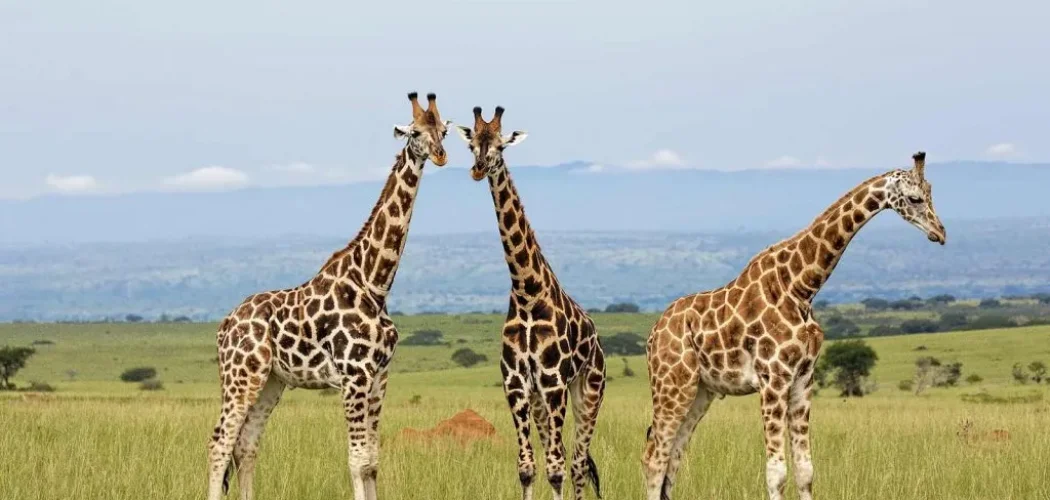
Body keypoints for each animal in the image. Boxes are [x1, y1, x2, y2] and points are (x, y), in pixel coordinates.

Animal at [206, 92, 450, 500]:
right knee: (220, 444)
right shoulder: (354, 376)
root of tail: (225, 325)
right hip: (240, 375)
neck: (374, 283)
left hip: (272, 381)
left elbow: (372, 462)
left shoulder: (379, 377)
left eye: (444, 131)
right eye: (415, 132)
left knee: (246, 445)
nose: (441, 154)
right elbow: (357, 461)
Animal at [455, 106, 607, 500]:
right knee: (566, 455)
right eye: (473, 144)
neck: (527, 292)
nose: (479, 168)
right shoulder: (516, 383)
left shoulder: (553, 381)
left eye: (500, 145)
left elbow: (555, 468)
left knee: (577, 462)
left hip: (588, 390)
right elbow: (526, 467)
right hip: (541, 400)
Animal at [642, 152, 946, 500]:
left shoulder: (803, 378)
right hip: (672, 385)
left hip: (701, 390)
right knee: (655, 456)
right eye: (914, 198)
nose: (940, 233)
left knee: (674, 455)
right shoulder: (773, 379)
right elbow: (776, 472)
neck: (801, 286)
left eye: (931, 193)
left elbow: (805, 470)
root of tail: (653, 333)